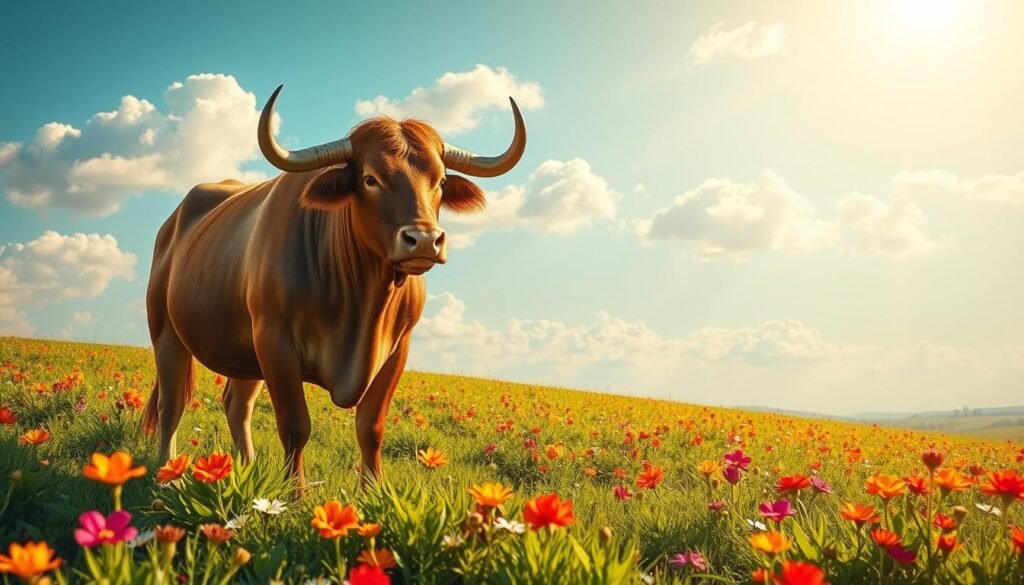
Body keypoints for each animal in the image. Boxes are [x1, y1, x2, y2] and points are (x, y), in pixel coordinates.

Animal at [142, 85, 526, 486]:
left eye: (439, 182)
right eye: (371, 178)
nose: (424, 240)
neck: (362, 304)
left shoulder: (397, 350)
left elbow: (371, 428)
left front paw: (373, 490)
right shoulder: (276, 342)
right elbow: (295, 427)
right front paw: (295, 491)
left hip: (243, 350)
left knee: (236, 403)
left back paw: (246, 469)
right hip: (166, 330)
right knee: (172, 403)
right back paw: (168, 472)